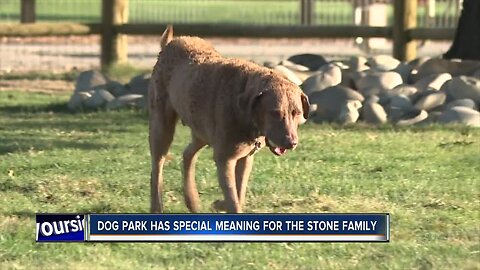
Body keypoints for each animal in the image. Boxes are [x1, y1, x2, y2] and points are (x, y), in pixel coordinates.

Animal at [148, 25, 310, 213]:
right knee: (157, 167)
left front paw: (219, 204)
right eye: (275, 113)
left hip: (201, 130)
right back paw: (157, 206)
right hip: (162, 126)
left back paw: (192, 201)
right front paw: (226, 204)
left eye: (296, 113)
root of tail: (170, 43)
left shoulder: (245, 158)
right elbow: (233, 198)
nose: (292, 143)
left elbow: (239, 193)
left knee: (188, 153)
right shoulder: (225, 159)